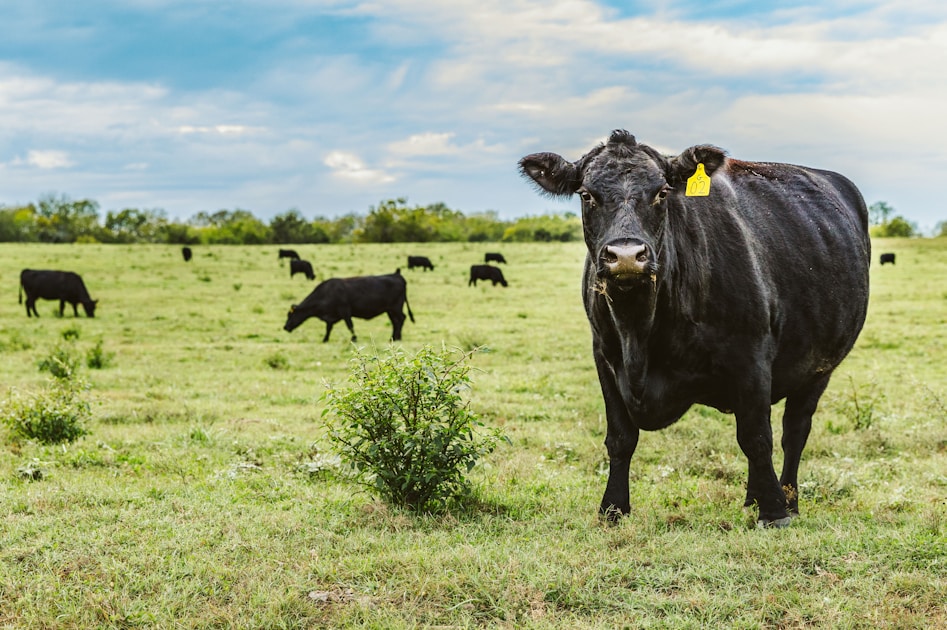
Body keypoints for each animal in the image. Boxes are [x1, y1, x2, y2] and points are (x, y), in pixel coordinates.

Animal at [284, 270, 414, 342]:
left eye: (290, 315)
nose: (285, 327)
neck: (327, 293)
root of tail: (397, 275)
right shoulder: (331, 317)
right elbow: (328, 328)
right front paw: (325, 339)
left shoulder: (345, 311)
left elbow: (350, 326)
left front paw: (354, 338)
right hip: (390, 310)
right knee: (396, 322)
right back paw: (394, 337)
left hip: (396, 308)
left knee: (401, 319)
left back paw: (397, 338)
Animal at [519, 130, 870, 528]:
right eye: (586, 195)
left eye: (661, 192)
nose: (626, 256)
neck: (639, 330)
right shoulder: (605, 356)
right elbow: (620, 437)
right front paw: (612, 508)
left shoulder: (751, 356)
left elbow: (756, 437)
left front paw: (775, 512)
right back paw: (753, 498)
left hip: (819, 368)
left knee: (794, 432)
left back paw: (787, 500)